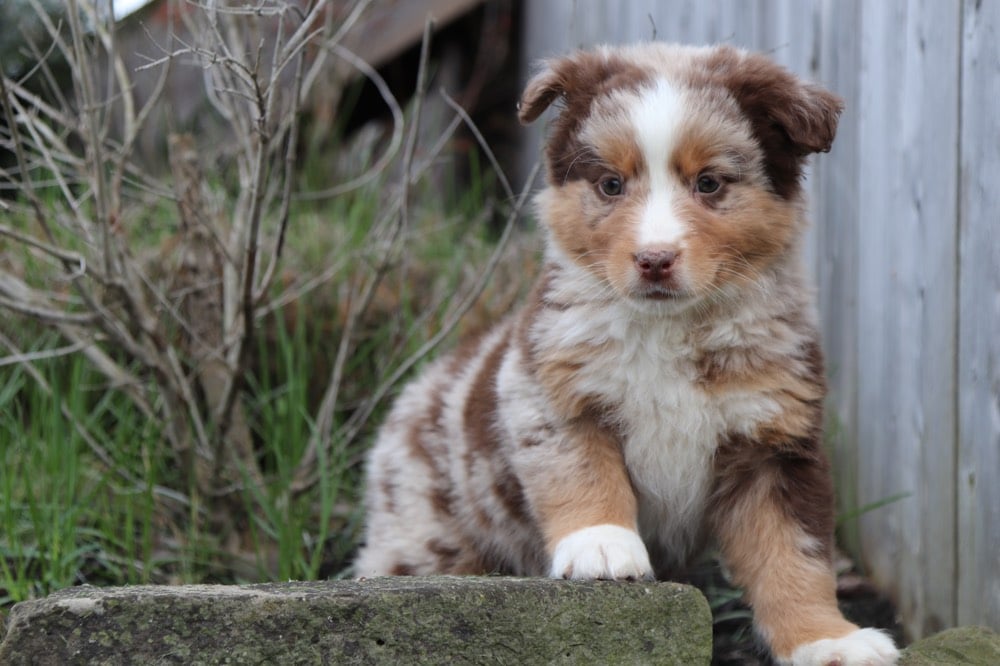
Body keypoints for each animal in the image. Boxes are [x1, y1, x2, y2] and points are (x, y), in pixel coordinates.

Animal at [356, 44, 904, 660]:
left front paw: (828, 640)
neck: (671, 328)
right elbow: (582, 472)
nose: (654, 259)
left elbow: (796, 555)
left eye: (709, 183)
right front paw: (602, 547)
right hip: (426, 529)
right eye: (611, 185)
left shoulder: (775, 442)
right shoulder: (550, 393)